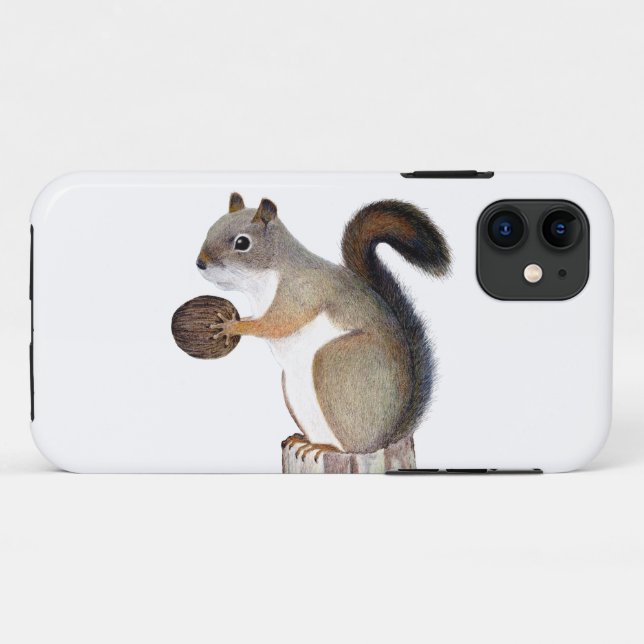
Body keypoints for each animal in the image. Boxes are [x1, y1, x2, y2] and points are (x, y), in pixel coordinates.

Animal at [196, 192, 451, 459]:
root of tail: (388, 437)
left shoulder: (300, 293)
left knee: (354, 446)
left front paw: (231, 326)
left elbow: (276, 324)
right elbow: (261, 321)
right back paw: (304, 440)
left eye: (242, 243)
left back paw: (327, 447)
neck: (266, 276)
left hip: (335, 363)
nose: (200, 263)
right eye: (211, 228)